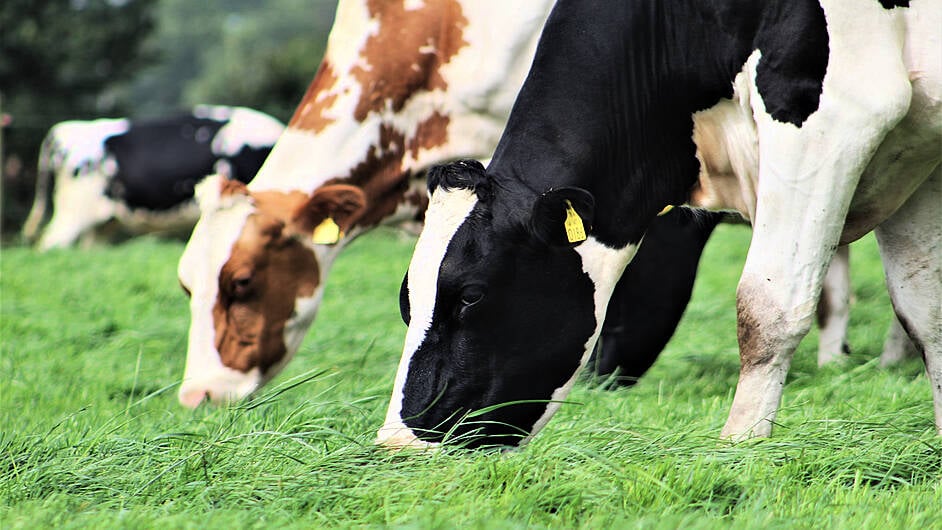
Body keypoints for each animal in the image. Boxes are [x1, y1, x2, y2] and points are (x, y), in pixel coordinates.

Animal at [380, 0, 940, 448]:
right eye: (406, 301)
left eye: (471, 295)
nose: (397, 444)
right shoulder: (917, 151)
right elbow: (924, 313)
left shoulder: (834, 115)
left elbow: (767, 308)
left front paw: (741, 448)